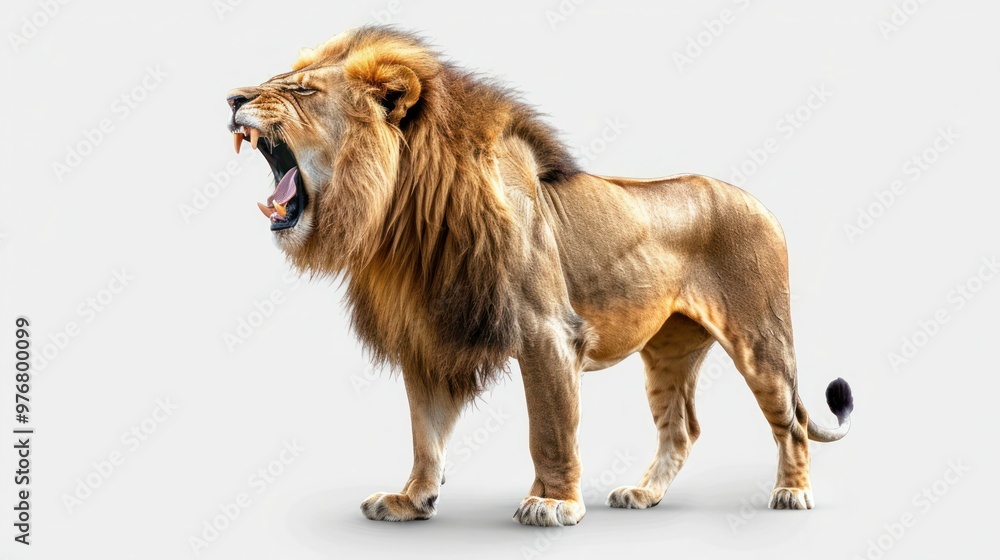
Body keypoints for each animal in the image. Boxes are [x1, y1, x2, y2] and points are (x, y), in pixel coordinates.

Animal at [225, 26, 854, 527]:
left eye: (302, 90)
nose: (232, 97)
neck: (402, 213)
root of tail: (758, 202)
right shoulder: (427, 338)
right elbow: (425, 433)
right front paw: (412, 500)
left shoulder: (547, 331)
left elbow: (550, 429)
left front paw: (554, 503)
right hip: (669, 350)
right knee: (682, 429)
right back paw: (643, 495)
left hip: (759, 337)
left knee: (792, 421)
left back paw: (792, 494)